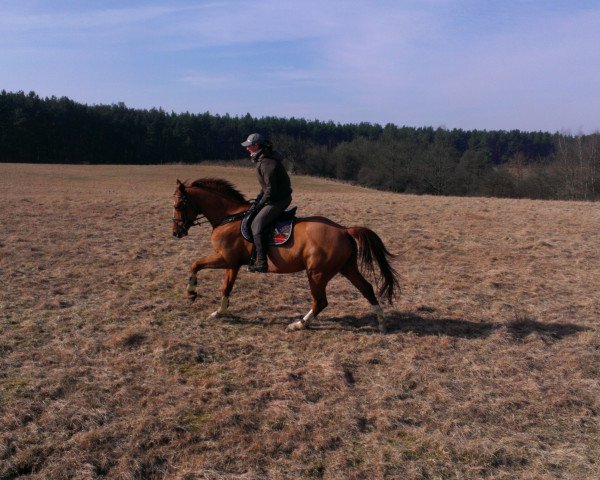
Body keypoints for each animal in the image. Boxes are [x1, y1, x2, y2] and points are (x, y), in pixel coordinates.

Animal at [172, 178, 398, 332]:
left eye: (178, 205)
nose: (176, 233)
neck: (229, 217)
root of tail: (343, 230)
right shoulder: (232, 263)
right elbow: (226, 287)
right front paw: (219, 312)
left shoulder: (225, 258)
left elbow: (195, 264)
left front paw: (191, 292)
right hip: (346, 268)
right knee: (366, 289)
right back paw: (382, 324)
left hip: (316, 273)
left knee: (321, 301)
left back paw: (299, 324)